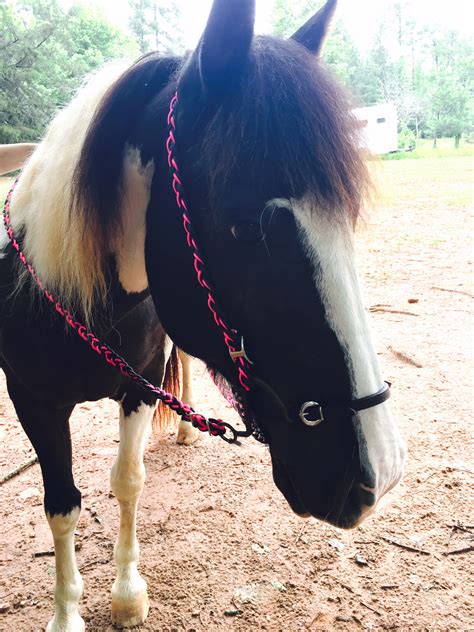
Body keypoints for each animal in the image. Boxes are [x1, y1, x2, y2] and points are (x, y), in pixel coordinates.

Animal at [1, 0, 406, 628]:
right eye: (244, 228)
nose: (378, 477)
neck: (79, 296)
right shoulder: (32, 400)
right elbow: (62, 506)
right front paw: (67, 612)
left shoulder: (139, 384)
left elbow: (128, 480)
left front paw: (127, 592)